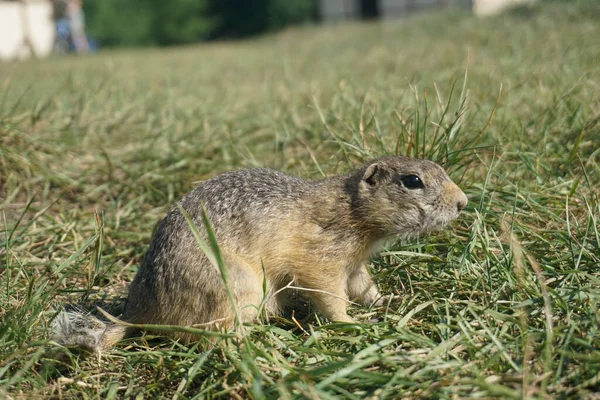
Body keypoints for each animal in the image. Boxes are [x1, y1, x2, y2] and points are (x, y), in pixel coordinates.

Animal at [51, 155, 466, 352]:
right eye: (412, 181)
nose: (463, 202)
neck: (351, 209)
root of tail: (137, 311)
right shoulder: (322, 257)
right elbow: (329, 294)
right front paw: (353, 324)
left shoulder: (354, 263)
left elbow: (364, 286)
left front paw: (388, 303)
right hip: (237, 286)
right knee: (206, 336)